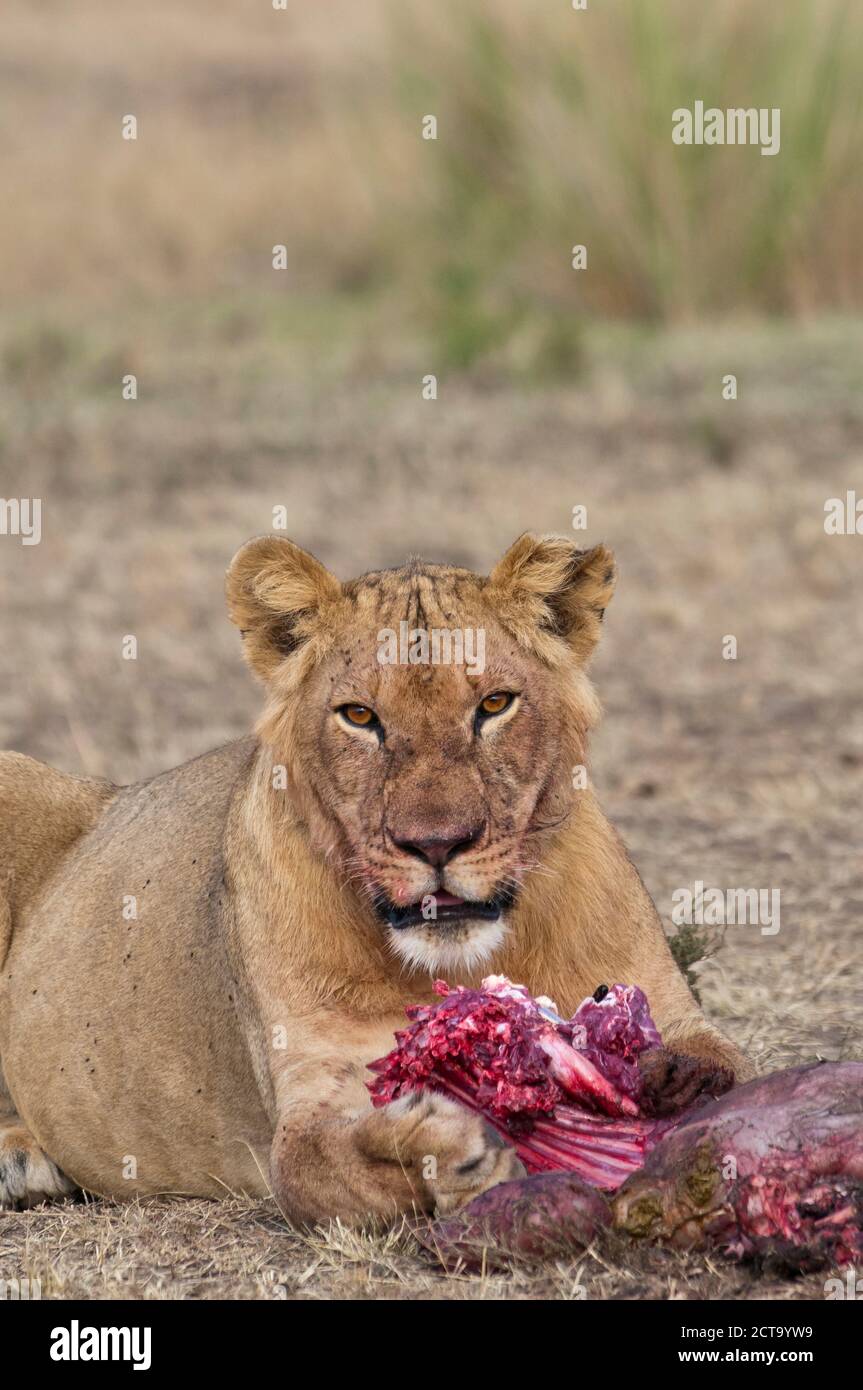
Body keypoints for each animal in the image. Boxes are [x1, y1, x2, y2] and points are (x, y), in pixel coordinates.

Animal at [0, 536, 744, 1223]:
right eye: (359, 716)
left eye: (495, 704)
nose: (436, 843)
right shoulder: (308, 1092)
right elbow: (325, 1160)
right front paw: (454, 1150)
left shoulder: (666, 1000)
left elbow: (725, 1060)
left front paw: (676, 1080)